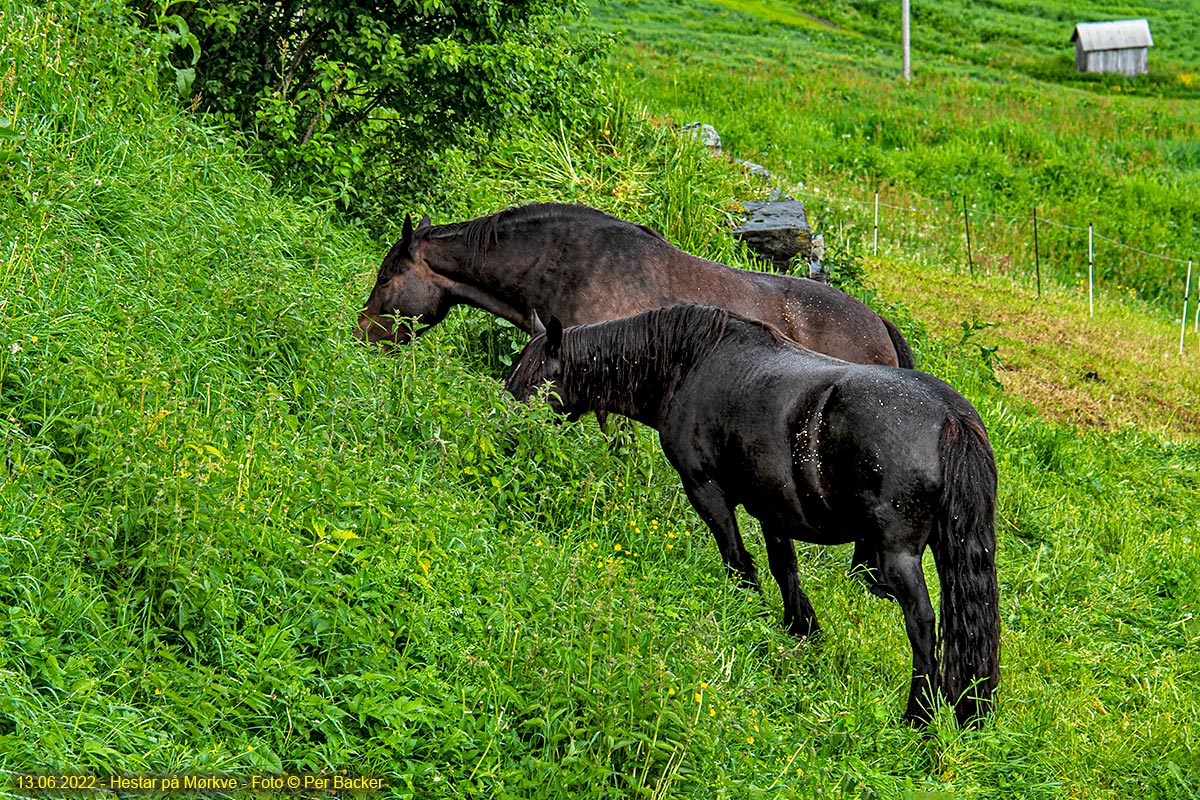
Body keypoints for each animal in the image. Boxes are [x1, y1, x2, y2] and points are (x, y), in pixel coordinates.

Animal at [506, 303, 1003, 729]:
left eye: (532, 385)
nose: (505, 435)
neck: (689, 363)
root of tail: (950, 418)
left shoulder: (706, 489)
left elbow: (738, 560)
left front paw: (752, 618)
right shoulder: (773, 509)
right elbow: (785, 569)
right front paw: (801, 631)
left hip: (898, 553)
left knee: (921, 621)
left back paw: (918, 715)